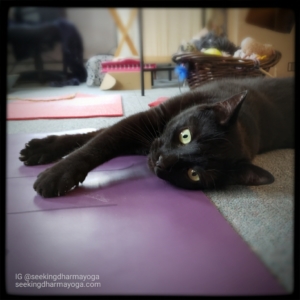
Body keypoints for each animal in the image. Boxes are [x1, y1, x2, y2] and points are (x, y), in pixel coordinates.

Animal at [19, 77, 294, 197]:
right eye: (185, 135)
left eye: (194, 174)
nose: (163, 161)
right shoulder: (143, 122)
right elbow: (93, 142)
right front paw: (47, 160)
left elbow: (95, 141)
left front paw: (54, 172)